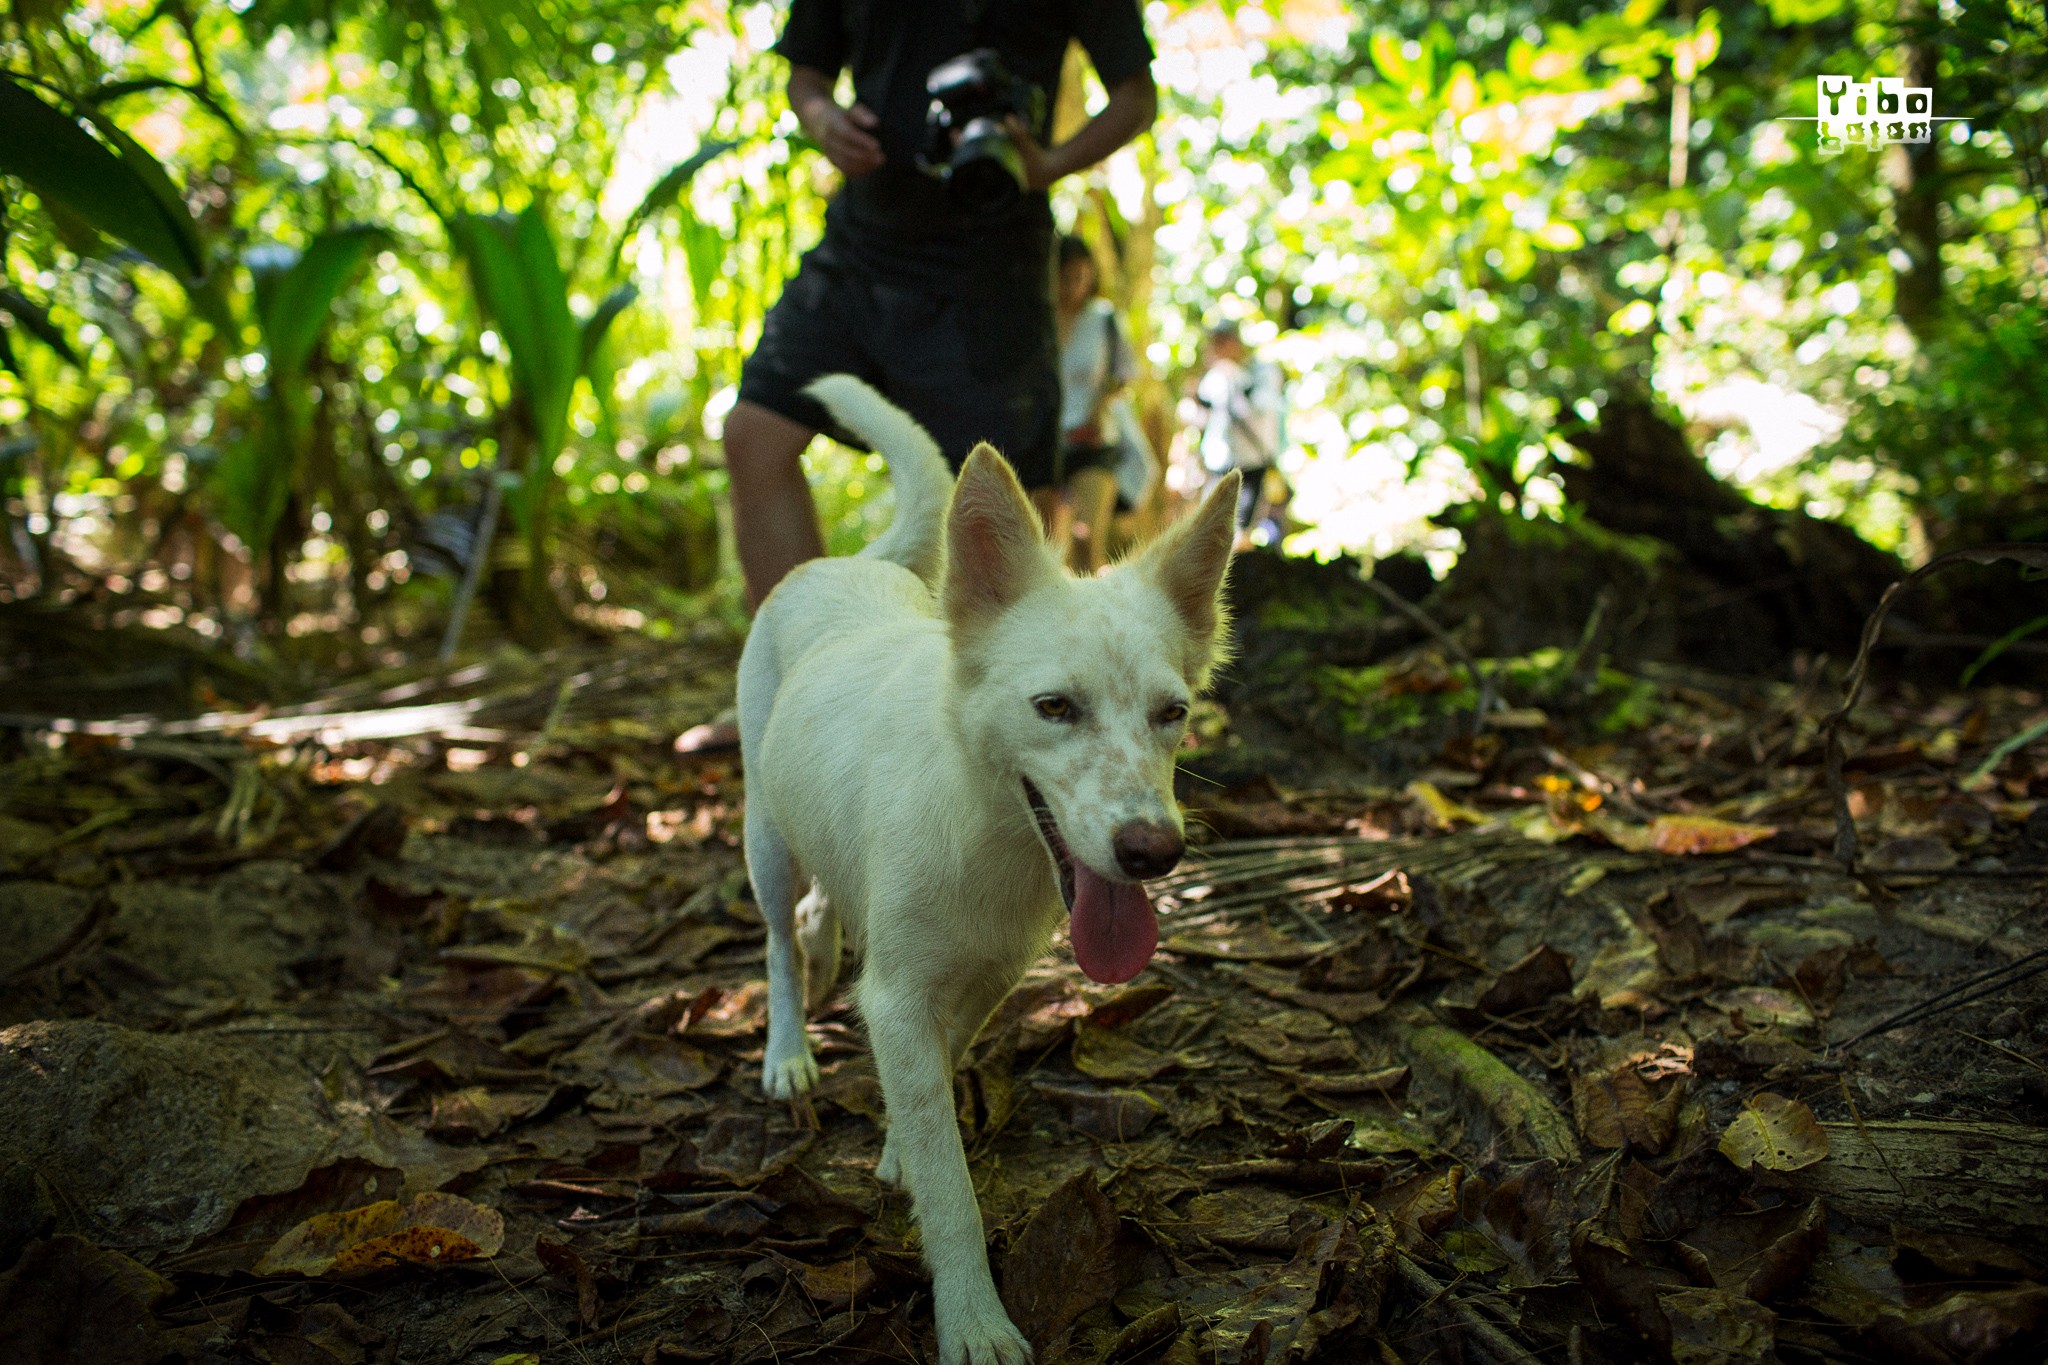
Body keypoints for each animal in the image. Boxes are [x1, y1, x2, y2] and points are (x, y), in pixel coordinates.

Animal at [745, 374, 1236, 1365]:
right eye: (1054, 707)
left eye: (1172, 713)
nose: (1153, 851)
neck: (991, 833)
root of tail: (841, 562)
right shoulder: (898, 992)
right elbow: (951, 1188)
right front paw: (974, 1318)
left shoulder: (987, 974)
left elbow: (940, 1066)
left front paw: (900, 1139)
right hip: (761, 834)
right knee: (777, 938)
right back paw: (787, 1047)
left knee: (819, 910)